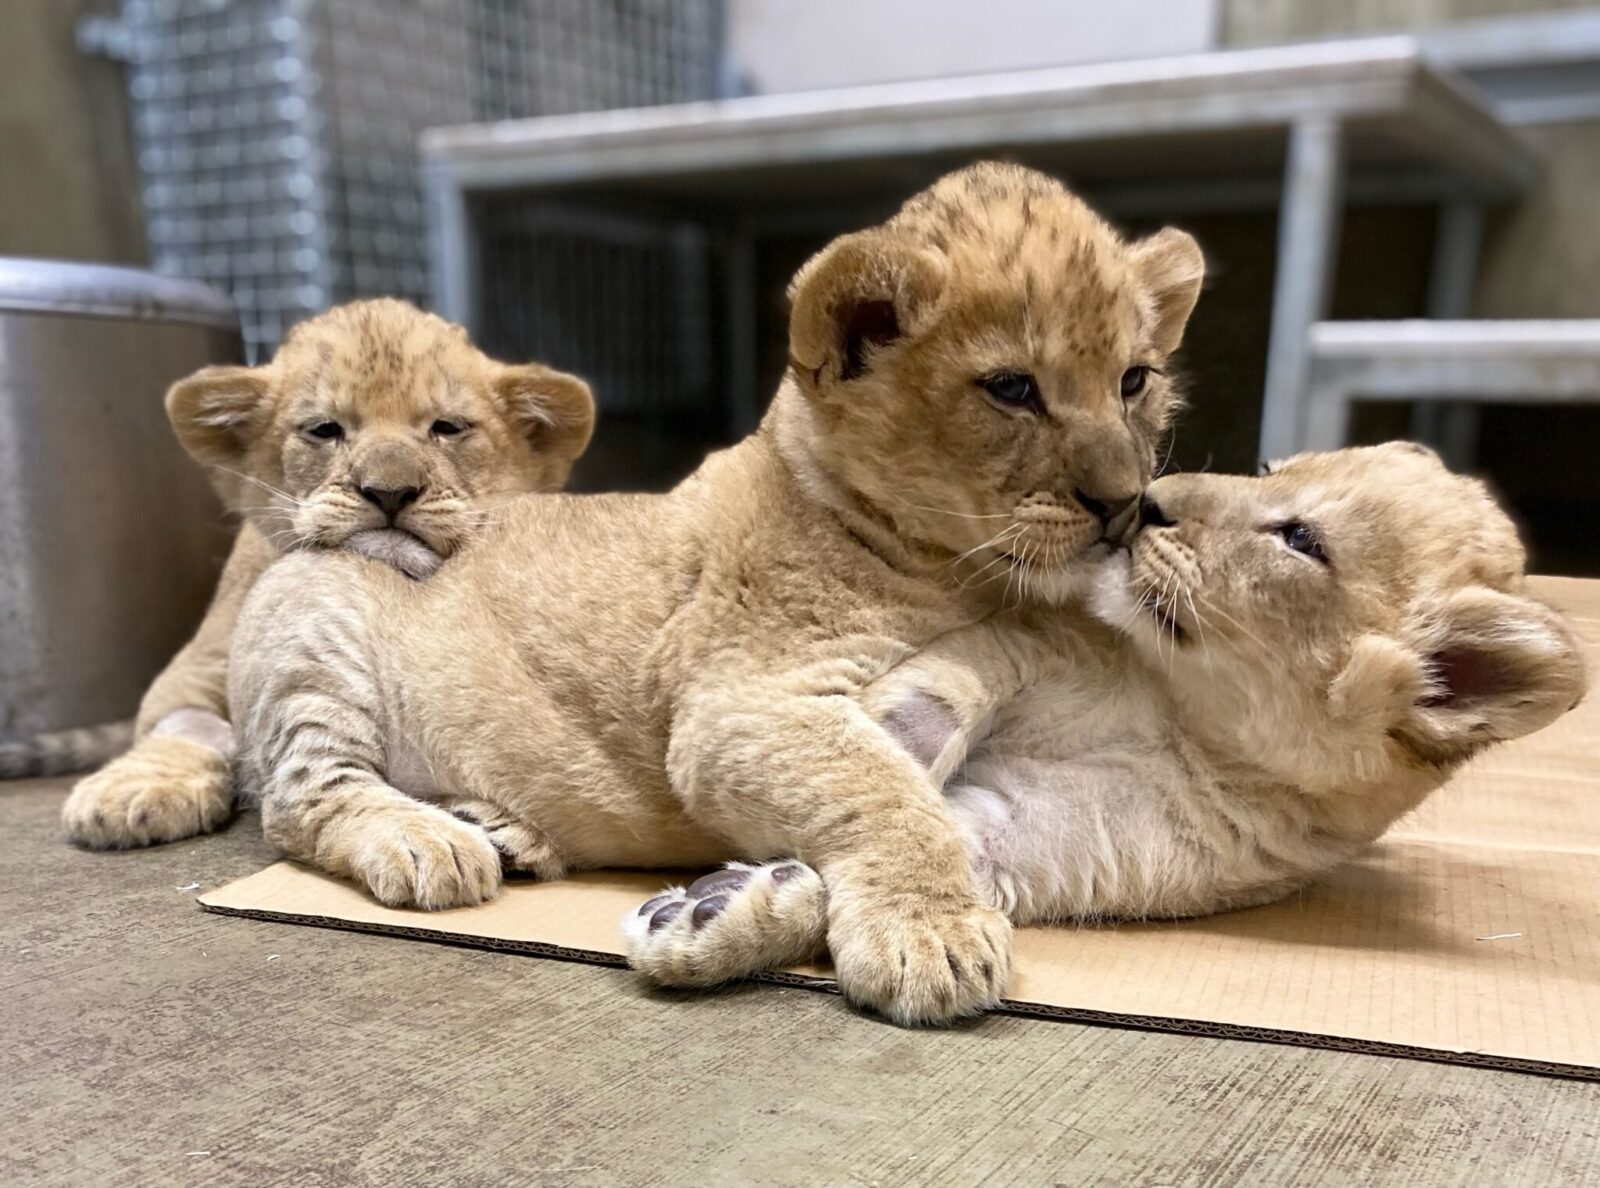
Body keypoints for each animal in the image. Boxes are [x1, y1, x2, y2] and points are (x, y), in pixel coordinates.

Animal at [57, 298, 595, 849]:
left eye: (447, 427)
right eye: (324, 429)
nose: (389, 491)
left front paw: (513, 825)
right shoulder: (197, 663)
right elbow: (184, 724)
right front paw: (133, 792)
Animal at [224, 163, 1207, 1025]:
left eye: (1134, 380)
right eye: (1011, 388)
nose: (1126, 503)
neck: (959, 570)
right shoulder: (738, 704)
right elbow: (885, 792)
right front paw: (932, 934)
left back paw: (502, 827)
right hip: (312, 630)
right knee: (301, 797)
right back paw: (429, 839)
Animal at [622, 444, 1587, 987]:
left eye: (1301, 539)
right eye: (1270, 469)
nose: (1147, 501)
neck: (1178, 714)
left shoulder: (1048, 841)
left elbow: (929, 846)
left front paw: (717, 912)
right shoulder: (1045, 636)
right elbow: (957, 684)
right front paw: (883, 728)